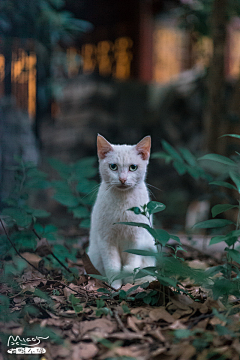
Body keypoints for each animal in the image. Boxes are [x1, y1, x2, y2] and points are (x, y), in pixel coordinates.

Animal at [88, 134, 156, 288]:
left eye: (133, 167)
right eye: (113, 166)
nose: (123, 179)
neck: (123, 204)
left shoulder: (137, 237)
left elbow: (132, 263)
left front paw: (129, 283)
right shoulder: (106, 239)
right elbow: (112, 266)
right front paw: (116, 286)